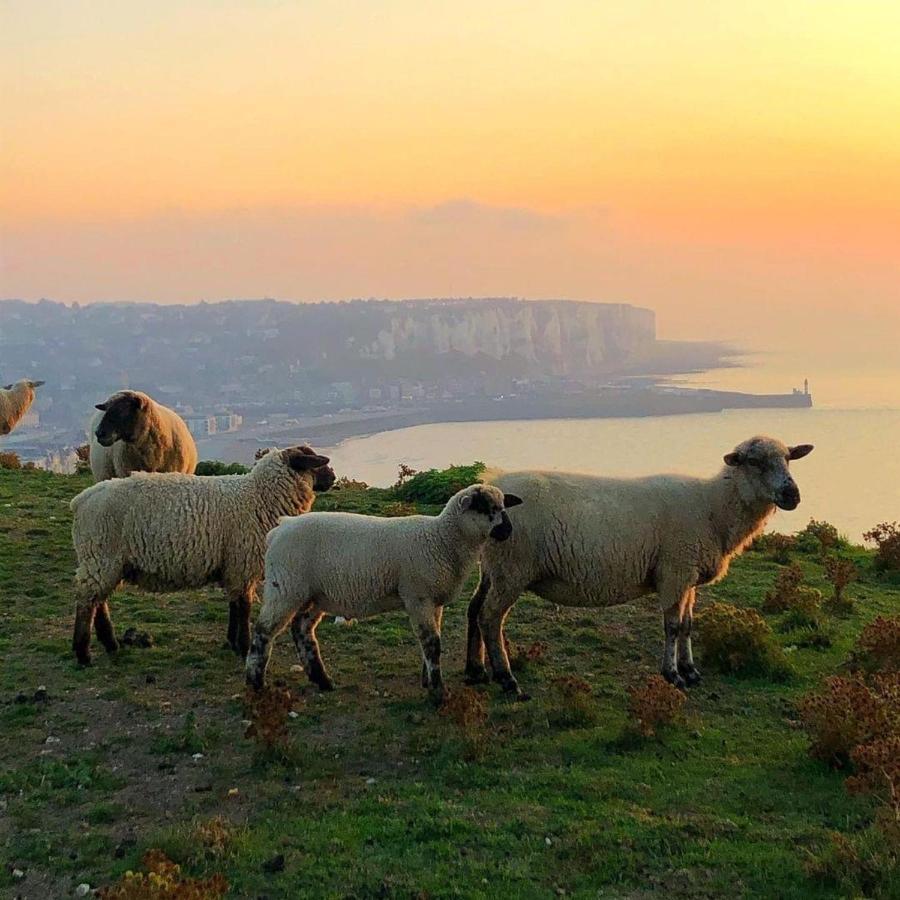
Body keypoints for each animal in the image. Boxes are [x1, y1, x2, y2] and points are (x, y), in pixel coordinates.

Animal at [67, 444, 334, 664]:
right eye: (315, 462)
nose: (332, 477)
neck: (259, 496)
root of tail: (82, 500)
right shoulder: (242, 562)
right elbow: (244, 607)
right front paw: (243, 645)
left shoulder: (232, 565)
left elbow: (234, 604)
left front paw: (231, 641)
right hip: (100, 554)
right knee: (86, 601)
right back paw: (83, 653)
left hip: (105, 561)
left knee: (98, 601)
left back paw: (110, 644)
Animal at [248, 486, 528, 704]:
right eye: (486, 507)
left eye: (504, 506)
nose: (507, 531)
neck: (441, 539)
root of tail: (279, 529)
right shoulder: (417, 597)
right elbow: (432, 643)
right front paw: (439, 692)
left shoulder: (433, 600)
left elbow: (430, 641)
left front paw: (427, 680)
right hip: (285, 587)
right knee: (263, 631)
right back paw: (256, 682)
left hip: (315, 594)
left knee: (302, 629)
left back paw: (322, 681)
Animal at [464, 434, 816, 696]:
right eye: (754, 462)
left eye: (788, 458)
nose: (793, 495)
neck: (714, 507)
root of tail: (492, 484)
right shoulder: (674, 570)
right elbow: (672, 626)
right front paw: (672, 674)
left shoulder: (687, 575)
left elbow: (688, 625)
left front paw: (690, 670)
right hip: (511, 568)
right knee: (490, 618)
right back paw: (506, 678)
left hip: (492, 568)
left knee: (474, 609)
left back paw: (475, 670)